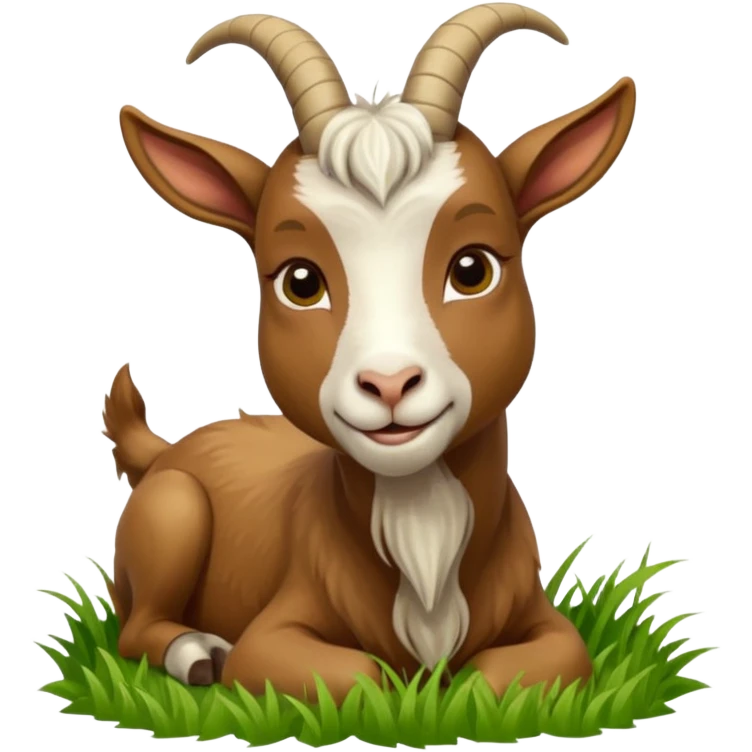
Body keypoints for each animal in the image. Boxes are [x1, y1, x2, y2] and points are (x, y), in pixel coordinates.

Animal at [108, 3, 637, 704]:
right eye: (300, 281)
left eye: (473, 268)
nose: (389, 383)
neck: (421, 522)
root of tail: (165, 451)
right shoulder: (271, 638)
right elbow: (358, 676)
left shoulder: (549, 628)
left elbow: (516, 673)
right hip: (172, 513)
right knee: (136, 628)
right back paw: (195, 653)